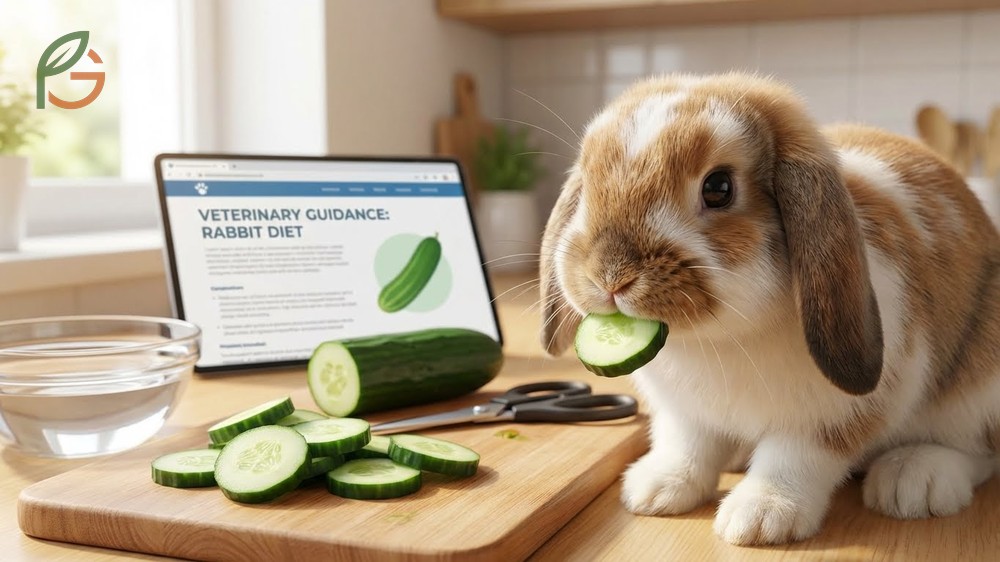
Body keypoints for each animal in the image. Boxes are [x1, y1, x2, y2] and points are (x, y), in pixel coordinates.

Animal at [538, 72, 1000, 546]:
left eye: (718, 187)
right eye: (588, 183)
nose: (608, 275)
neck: (720, 338)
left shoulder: (832, 415)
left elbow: (796, 457)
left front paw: (759, 517)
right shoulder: (684, 414)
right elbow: (686, 446)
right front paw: (655, 490)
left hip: (980, 385)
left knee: (979, 449)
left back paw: (914, 480)